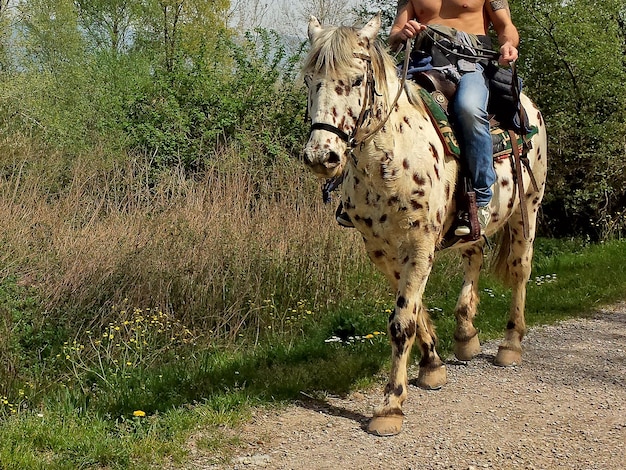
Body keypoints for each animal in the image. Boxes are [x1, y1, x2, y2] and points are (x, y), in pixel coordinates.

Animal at [302, 14, 544, 436]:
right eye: (308, 80)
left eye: (356, 80)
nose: (321, 156)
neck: (390, 158)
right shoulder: (379, 247)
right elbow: (414, 309)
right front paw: (432, 365)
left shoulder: (419, 243)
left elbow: (402, 322)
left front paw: (390, 406)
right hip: (474, 224)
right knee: (474, 255)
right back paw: (466, 334)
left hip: (527, 208)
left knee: (519, 269)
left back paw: (511, 343)